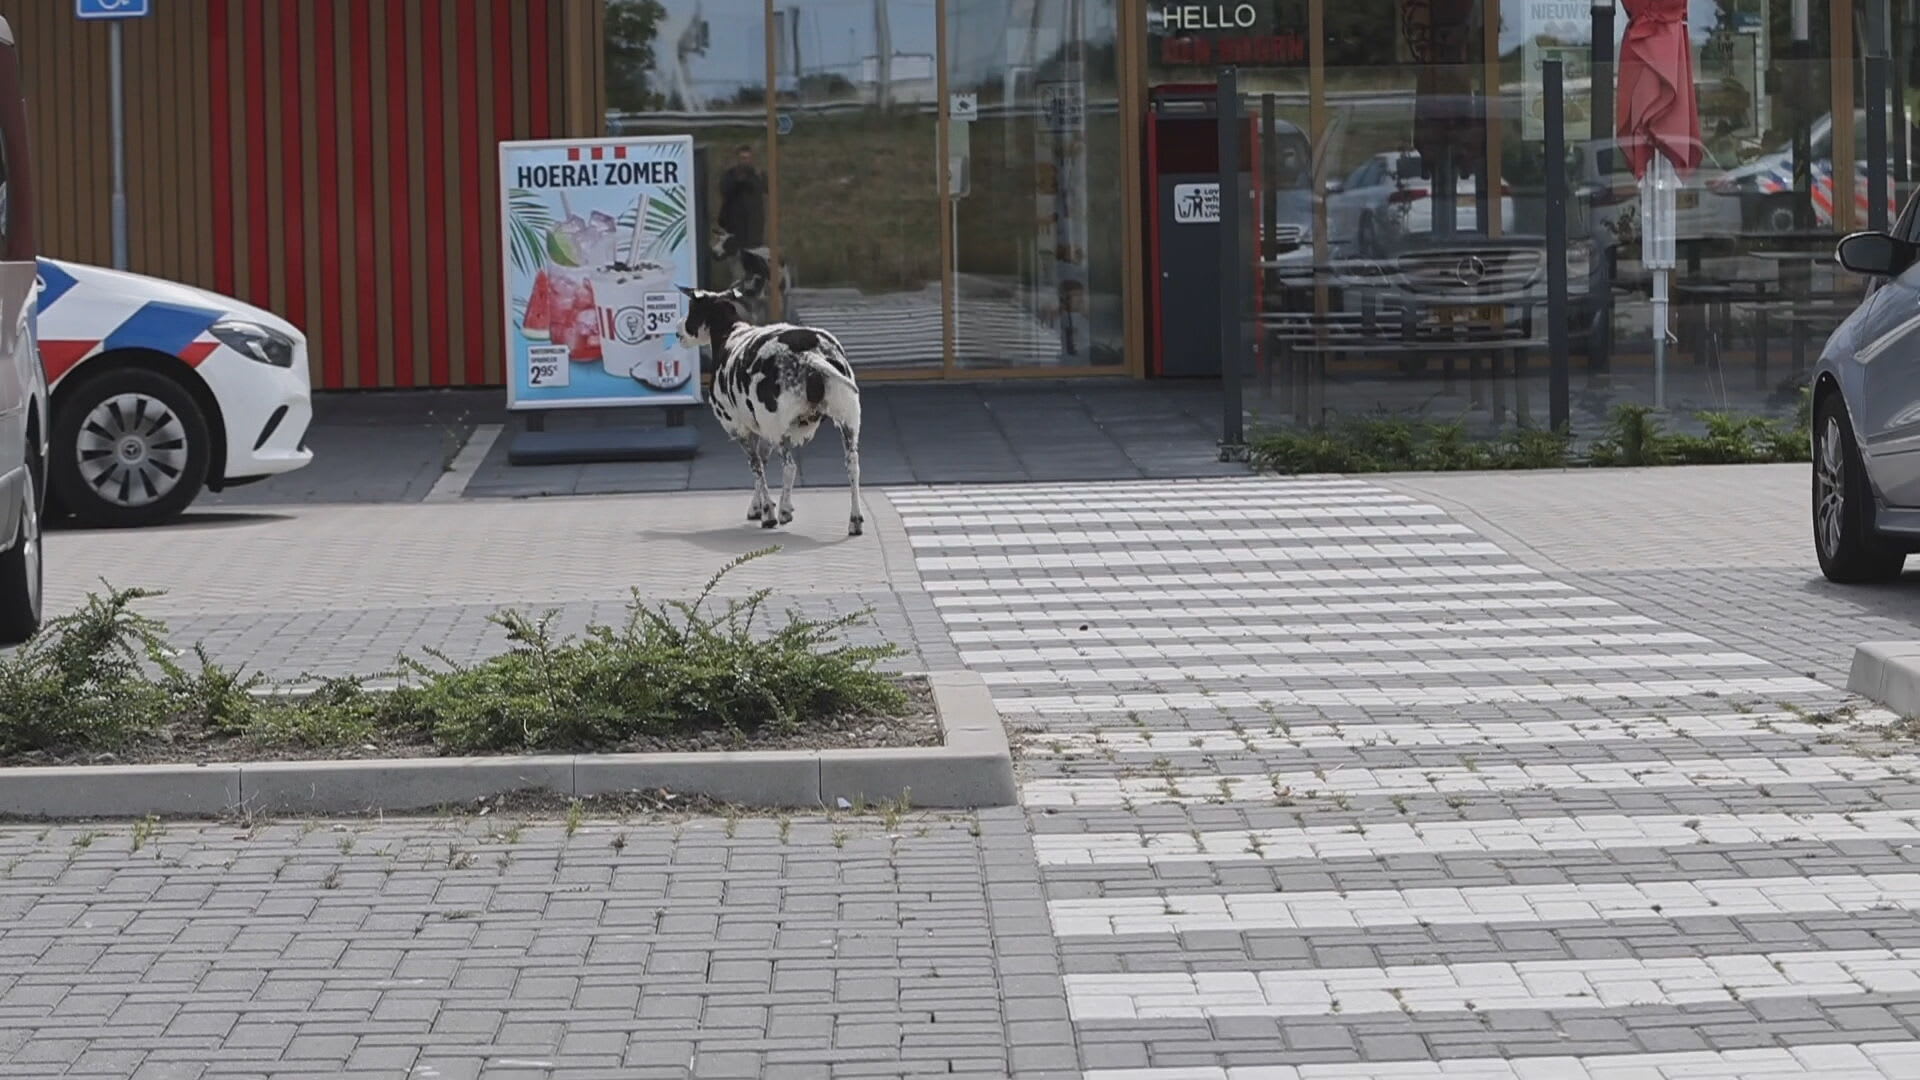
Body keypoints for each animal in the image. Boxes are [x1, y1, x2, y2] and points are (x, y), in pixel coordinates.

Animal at [672, 274, 860, 530]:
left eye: (692, 308)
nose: (677, 330)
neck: (730, 334)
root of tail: (810, 355)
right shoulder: (763, 431)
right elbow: (762, 462)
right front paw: (760, 507)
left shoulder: (740, 429)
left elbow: (756, 468)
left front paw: (769, 512)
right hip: (847, 421)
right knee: (852, 465)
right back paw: (855, 520)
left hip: (780, 427)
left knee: (789, 467)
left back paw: (781, 513)